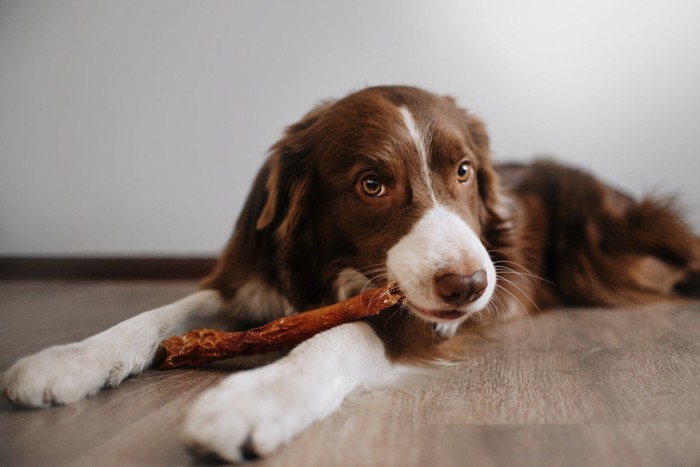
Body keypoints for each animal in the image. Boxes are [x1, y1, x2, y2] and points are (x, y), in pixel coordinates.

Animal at [1, 86, 700, 462]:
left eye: (464, 172)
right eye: (371, 184)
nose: (471, 288)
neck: (333, 268)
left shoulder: (424, 320)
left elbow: (341, 337)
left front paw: (253, 399)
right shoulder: (252, 281)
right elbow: (157, 315)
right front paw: (69, 360)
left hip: (607, 255)